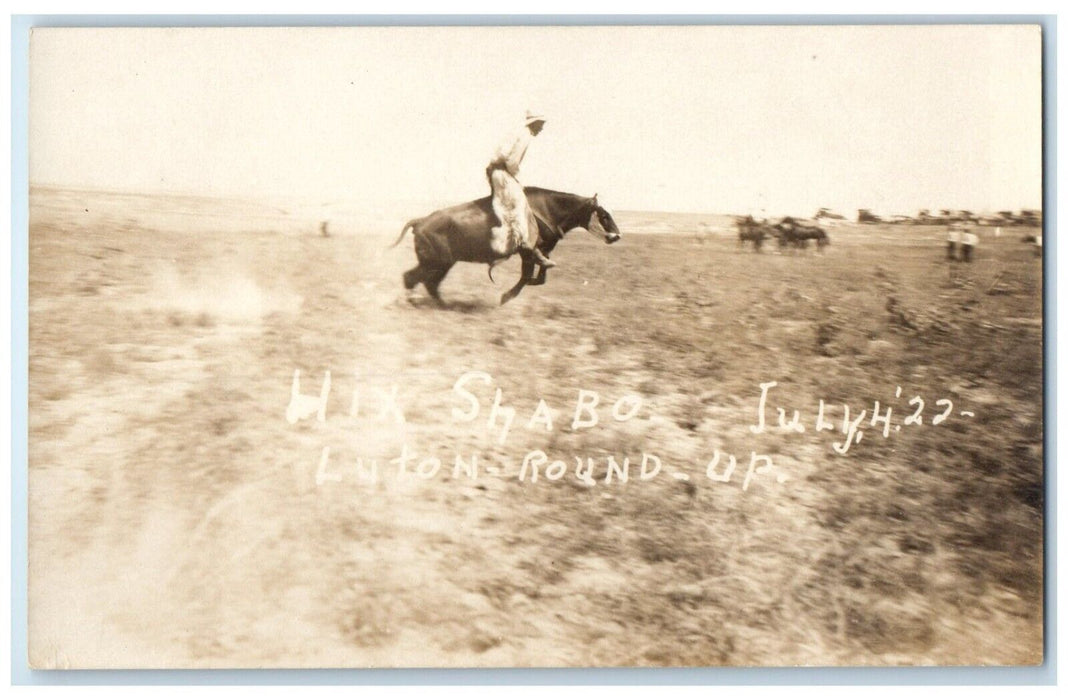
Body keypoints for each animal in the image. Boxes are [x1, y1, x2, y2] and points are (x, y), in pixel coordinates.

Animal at [388, 188, 623, 305]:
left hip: (443, 263)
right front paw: (505, 297)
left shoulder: (541, 251)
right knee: (413, 278)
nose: (617, 236)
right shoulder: (528, 253)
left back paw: (442, 304)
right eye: (603, 215)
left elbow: (540, 276)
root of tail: (420, 221)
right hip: (436, 261)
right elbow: (527, 276)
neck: (545, 209)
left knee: (429, 283)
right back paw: (416, 301)